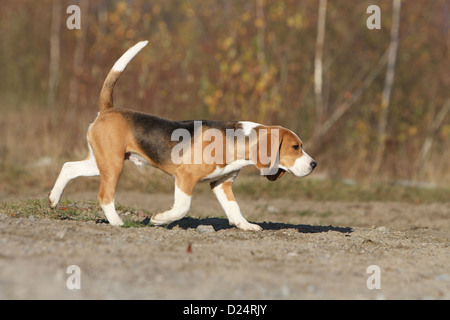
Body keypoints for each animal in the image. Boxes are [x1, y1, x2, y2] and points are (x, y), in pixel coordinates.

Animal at [48, 41, 316, 231]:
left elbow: (234, 208)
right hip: (113, 165)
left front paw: (246, 226)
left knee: (68, 167)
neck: (236, 141)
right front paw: (160, 219)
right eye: (295, 147)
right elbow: (183, 207)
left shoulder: (222, 183)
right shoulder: (185, 177)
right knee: (104, 196)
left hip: (102, 161)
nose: (314, 164)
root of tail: (108, 109)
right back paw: (118, 223)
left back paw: (53, 199)